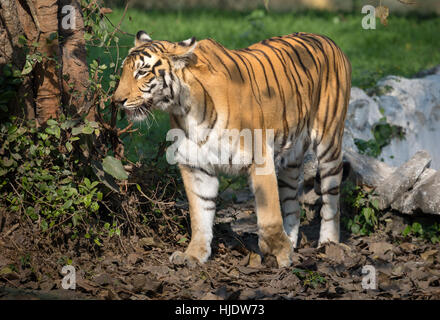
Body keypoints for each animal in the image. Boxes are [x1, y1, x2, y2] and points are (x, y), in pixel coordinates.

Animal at [112, 29, 350, 268]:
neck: (185, 107)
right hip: (290, 158)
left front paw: (279, 254)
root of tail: (326, 38)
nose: (116, 101)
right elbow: (200, 215)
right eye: (124, 71)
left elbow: (269, 215)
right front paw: (193, 255)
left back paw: (328, 244)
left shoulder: (261, 159)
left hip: (329, 143)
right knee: (292, 203)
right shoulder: (196, 166)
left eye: (142, 72)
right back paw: (292, 242)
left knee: (332, 200)